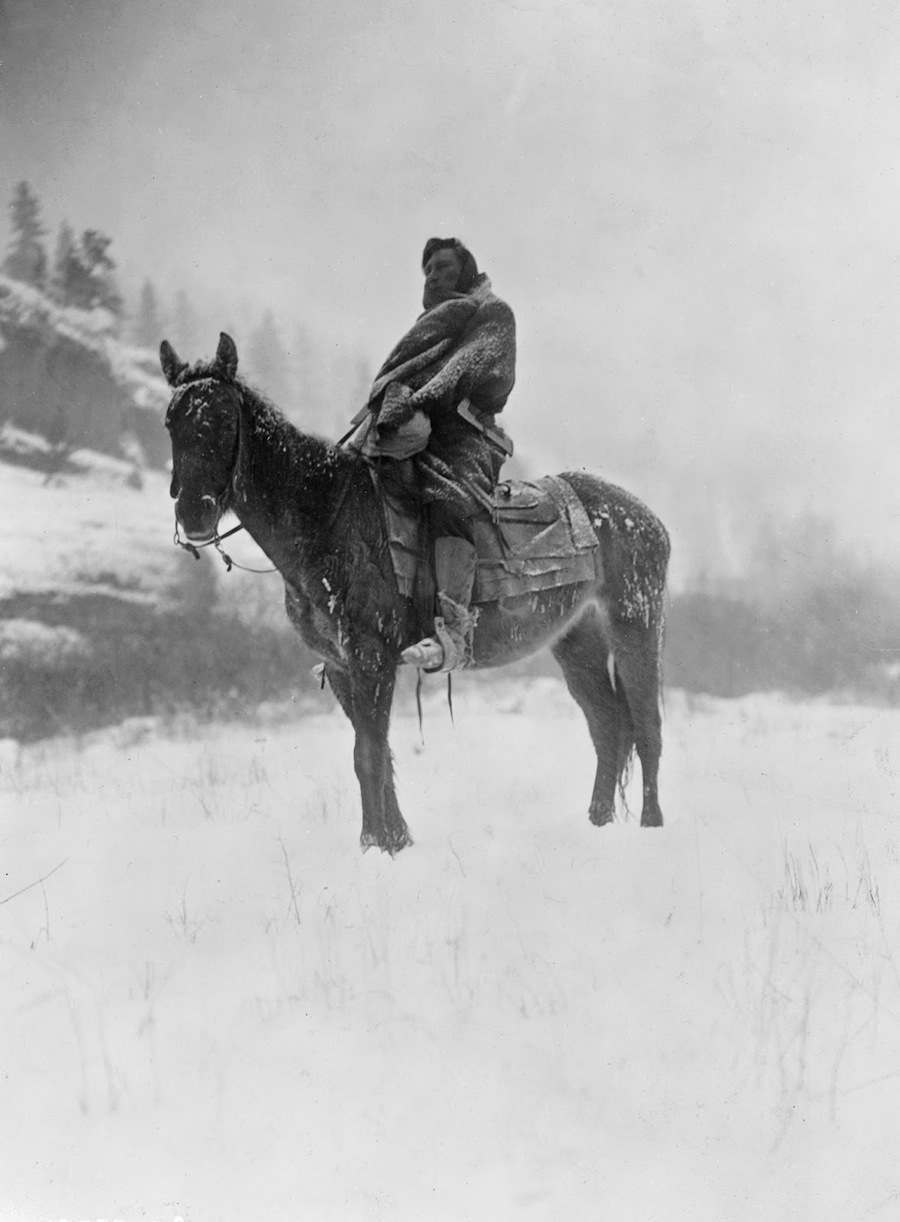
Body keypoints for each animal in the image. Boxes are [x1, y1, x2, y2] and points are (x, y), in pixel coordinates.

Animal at [160, 329, 670, 855]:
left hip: (636, 624)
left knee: (647, 724)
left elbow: (367, 753)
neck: (328, 517)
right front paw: (395, 840)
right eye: (171, 421)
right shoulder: (342, 667)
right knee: (608, 725)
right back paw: (599, 823)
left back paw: (651, 825)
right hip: (575, 640)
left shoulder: (371, 658)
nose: (194, 514)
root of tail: (644, 516)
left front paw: (374, 843)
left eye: (222, 419)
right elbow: (376, 753)